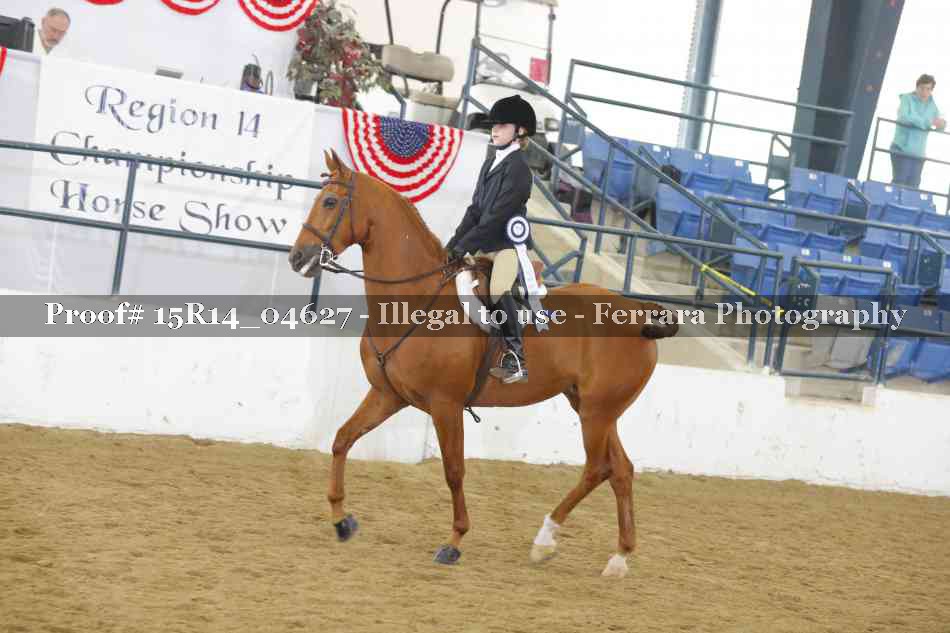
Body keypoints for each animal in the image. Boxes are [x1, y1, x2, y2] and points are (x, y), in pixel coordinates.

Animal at [289, 149, 678, 578]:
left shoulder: (445, 405)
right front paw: (341, 520)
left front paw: (454, 541)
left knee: (598, 469)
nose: (297, 257)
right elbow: (343, 439)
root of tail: (639, 312)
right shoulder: (388, 395)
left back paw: (544, 541)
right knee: (621, 470)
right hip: (593, 407)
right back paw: (619, 557)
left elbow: (453, 470)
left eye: (329, 201)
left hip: (597, 412)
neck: (416, 299)